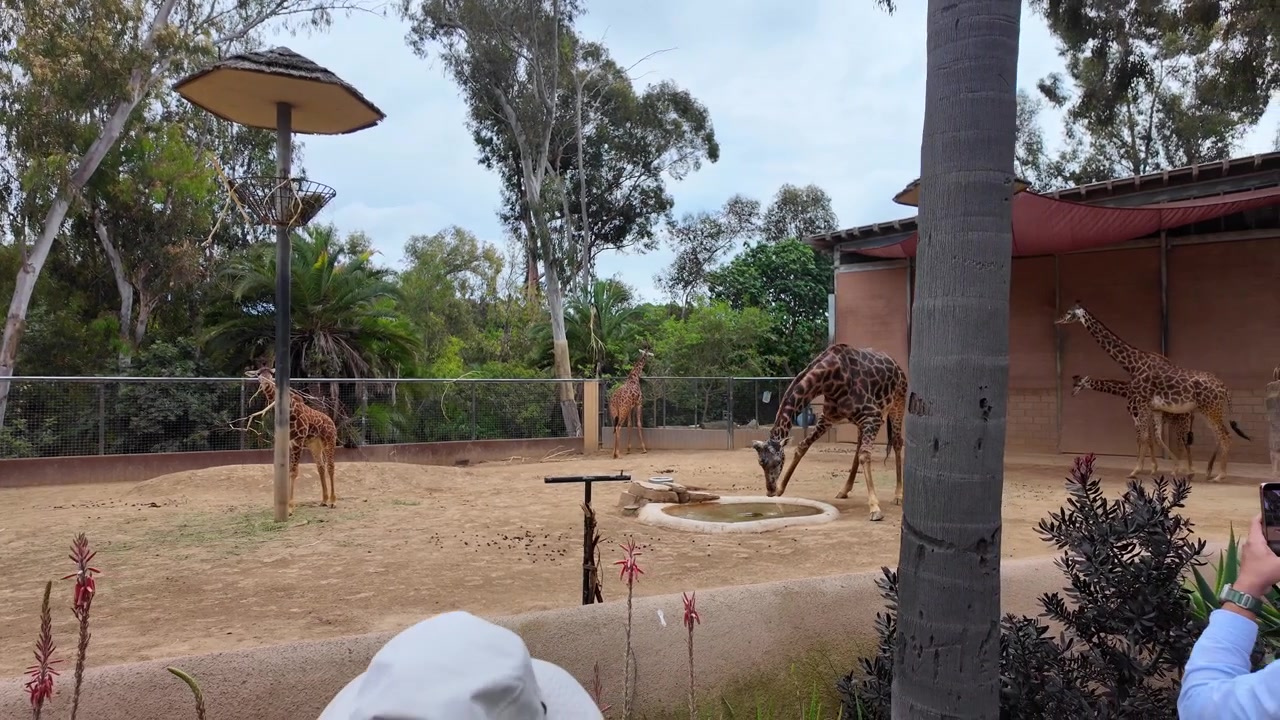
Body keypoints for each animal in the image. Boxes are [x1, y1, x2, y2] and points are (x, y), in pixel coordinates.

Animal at [246, 366, 338, 514]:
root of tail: (332, 422)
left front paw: (289, 507)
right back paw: (324, 500)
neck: (290, 413)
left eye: (271, 374)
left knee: (330, 466)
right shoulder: (288, 442)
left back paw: (333, 501)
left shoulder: (298, 441)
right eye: (258, 374)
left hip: (329, 440)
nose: (266, 382)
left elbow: (293, 472)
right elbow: (286, 470)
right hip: (315, 445)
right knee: (320, 466)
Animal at [751, 344, 907, 521]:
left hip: (897, 404)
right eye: (760, 462)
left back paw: (898, 495)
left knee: (896, 442)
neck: (830, 380)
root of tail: (897, 366)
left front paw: (875, 508)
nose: (770, 490)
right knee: (858, 449)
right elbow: (802, 446)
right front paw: (781, 489)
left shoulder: (873, 416)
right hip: (859, 422)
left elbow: (865, 455)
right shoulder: (827, 418)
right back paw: (844, 490)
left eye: (778, 462)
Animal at [1056, 302, 1250, 482]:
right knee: (1214, 437)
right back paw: (1206, 472)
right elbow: (1153, 438)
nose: (1057, 320)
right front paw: (1162, 469)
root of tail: (1224, 388)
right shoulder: (1153, 409)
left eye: (1069, 313)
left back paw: (1219, 475)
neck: (1133, 365)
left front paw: (1136, 471)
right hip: (1207, 411)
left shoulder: (1139, 407)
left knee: (1223, 436)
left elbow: (1143, 438)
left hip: (1209, 410)